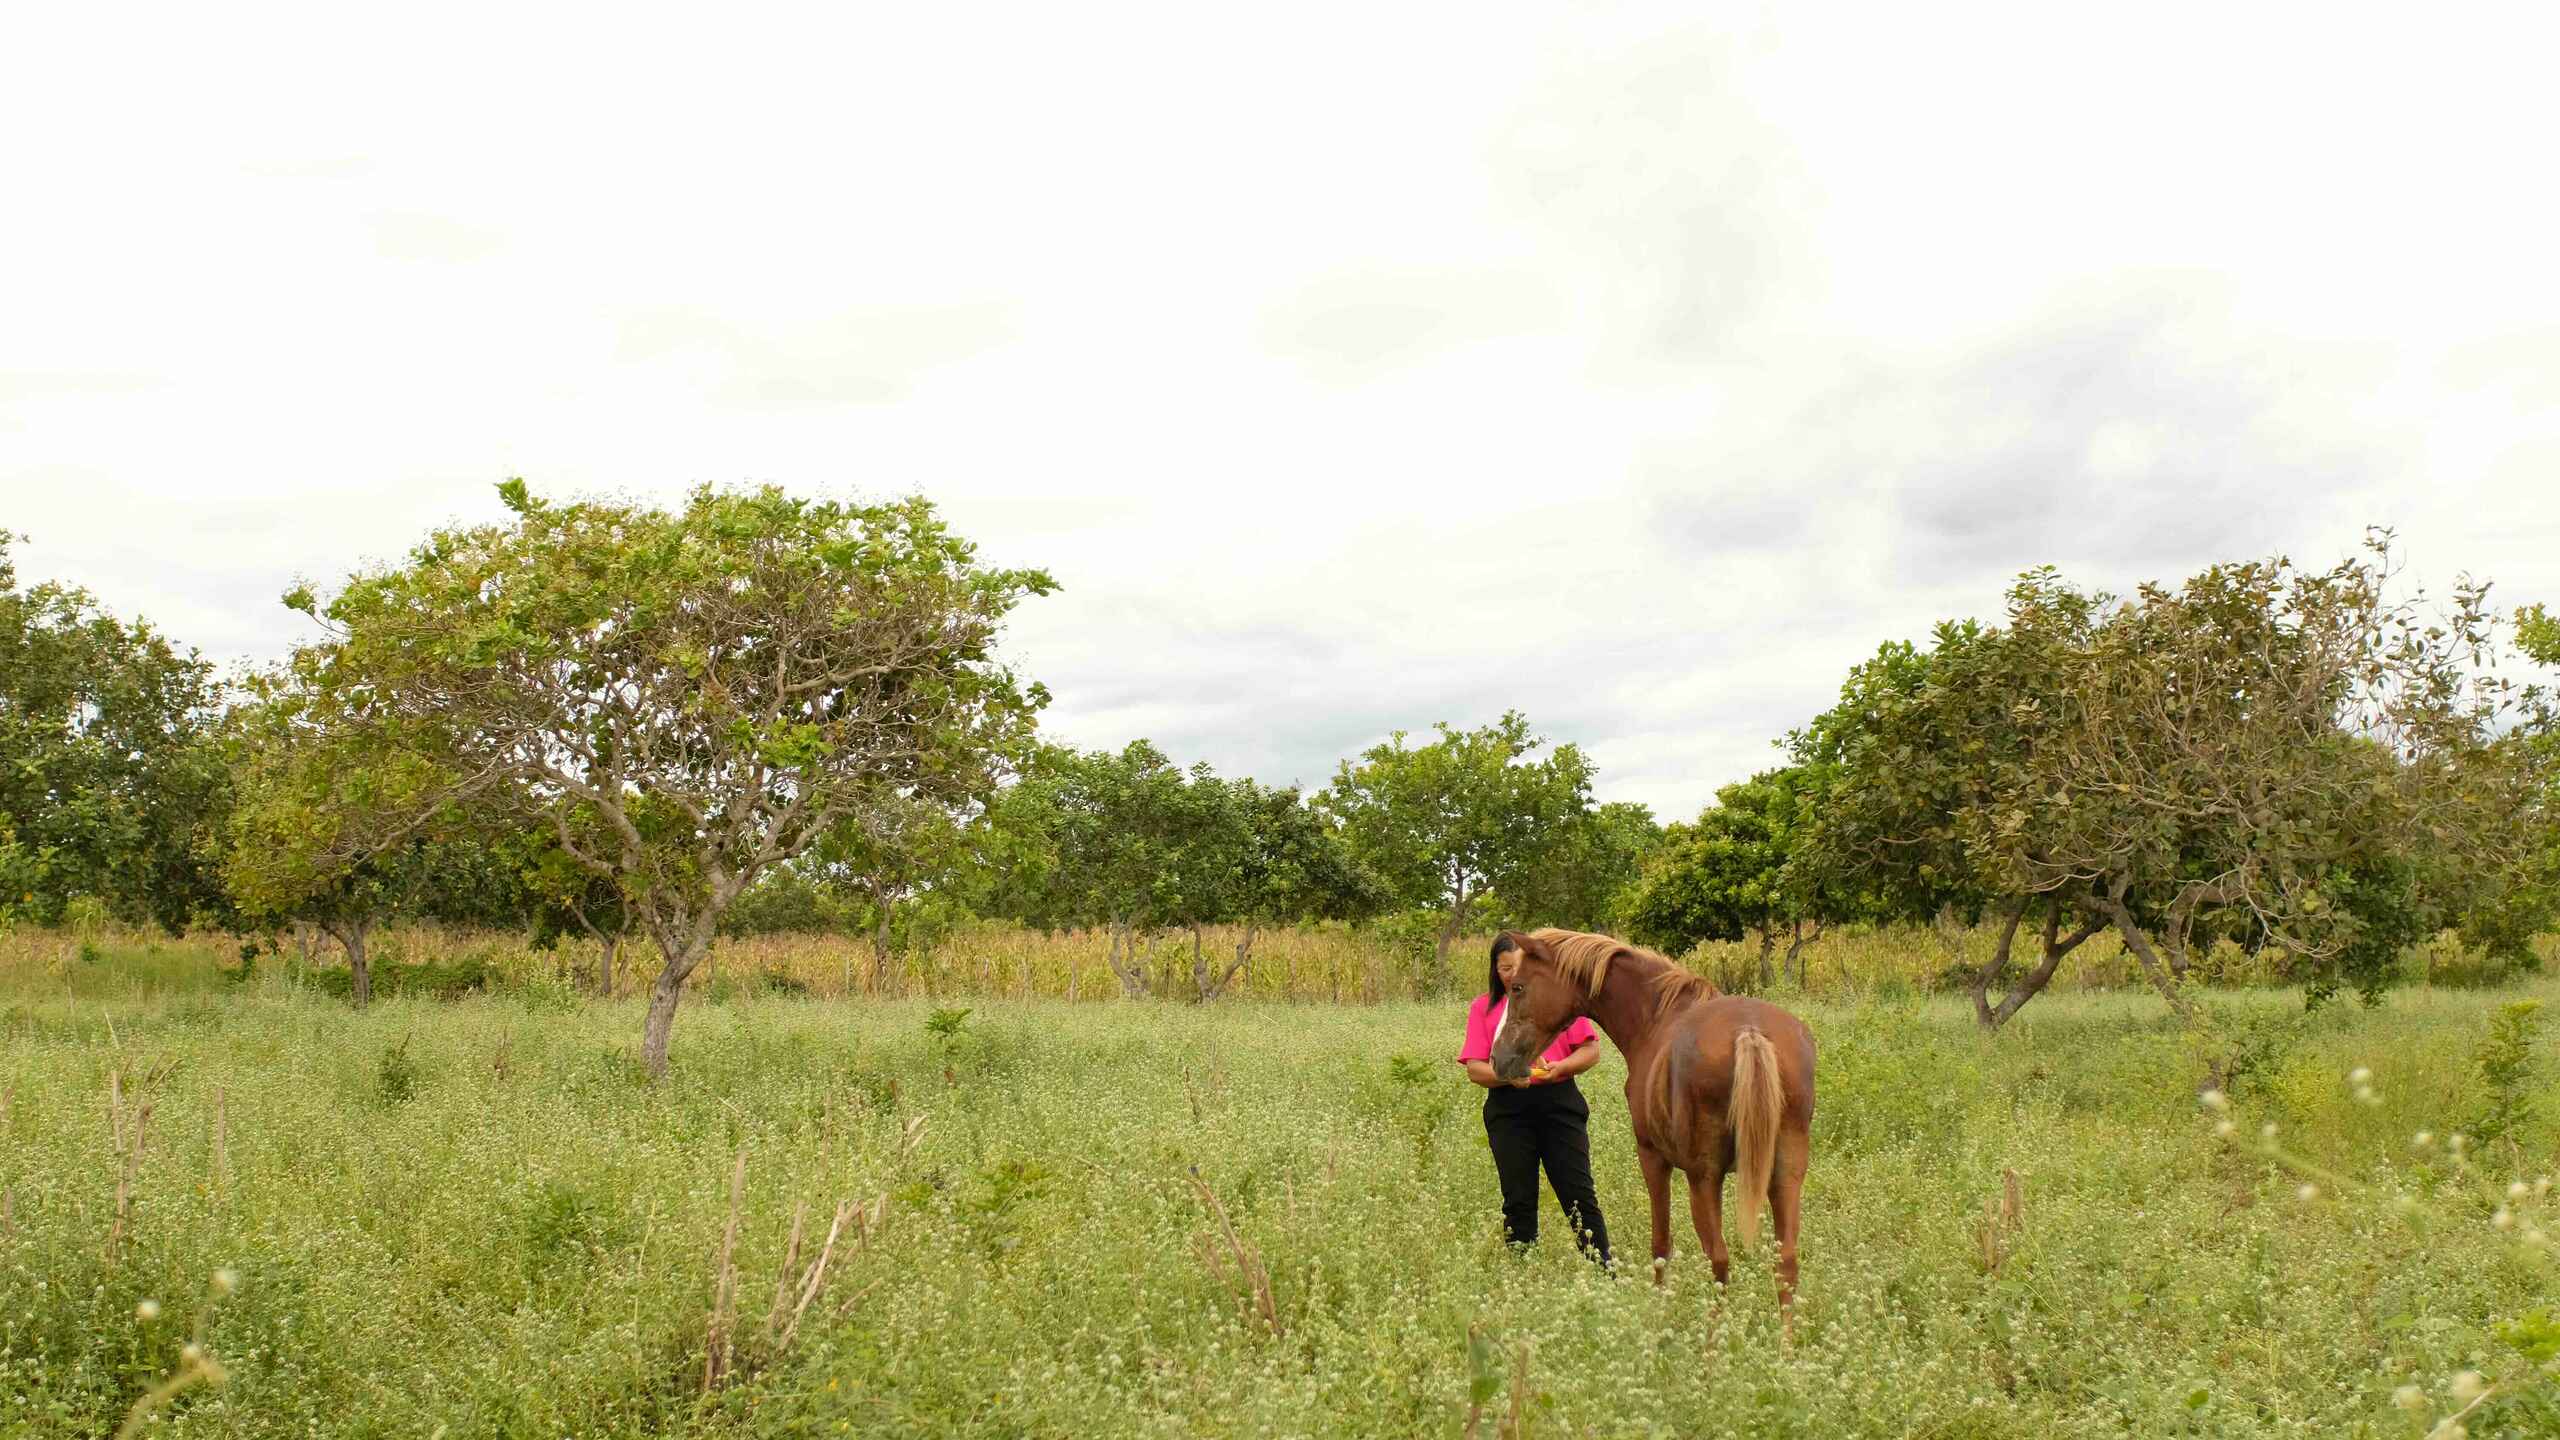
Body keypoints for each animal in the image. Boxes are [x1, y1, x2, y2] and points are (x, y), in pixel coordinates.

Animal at [1486, 927, 1817, 1310]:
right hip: (1785, 1175)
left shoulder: (1652, 1157)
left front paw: (1659, 1307)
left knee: (1719, 1258)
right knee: (1785, 1262)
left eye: (1518, 987)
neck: (1656, 1017)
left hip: (1703, 1178)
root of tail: (1749, 1031)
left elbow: (1660, 1243)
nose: (1498, 1058)